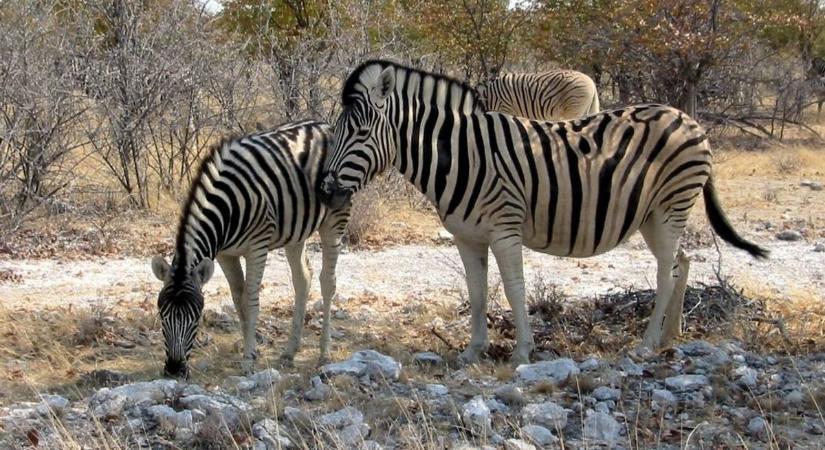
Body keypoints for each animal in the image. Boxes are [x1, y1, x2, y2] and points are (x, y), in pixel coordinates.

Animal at [150, 120, 349, 377]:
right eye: (162, 316)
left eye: (196, 318)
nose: (174, 370)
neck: (225, 207)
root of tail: (325, 125)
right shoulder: (225, 254)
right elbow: (239, 301)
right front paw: (250, 353)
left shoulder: (258, 246)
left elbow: (251, 300)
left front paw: (249, 359)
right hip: (295, 232)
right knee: (302, 280)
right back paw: (289, 352)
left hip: (335, 219)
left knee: (328, 281)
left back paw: (324, 353)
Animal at [318, 60, 767, 365]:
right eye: (336, 132)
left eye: (360, 133)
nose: (324, 192)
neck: (462, 156)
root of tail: (690, 120)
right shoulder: (466, 236)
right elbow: (477, 293)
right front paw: (473, 351)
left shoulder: (505, 229)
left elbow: (514, 290)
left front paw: (522, 351)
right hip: (653, 215)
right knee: (681, 262)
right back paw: (670, 334)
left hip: (672, 203)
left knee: (666, 271)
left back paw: (645, 345)